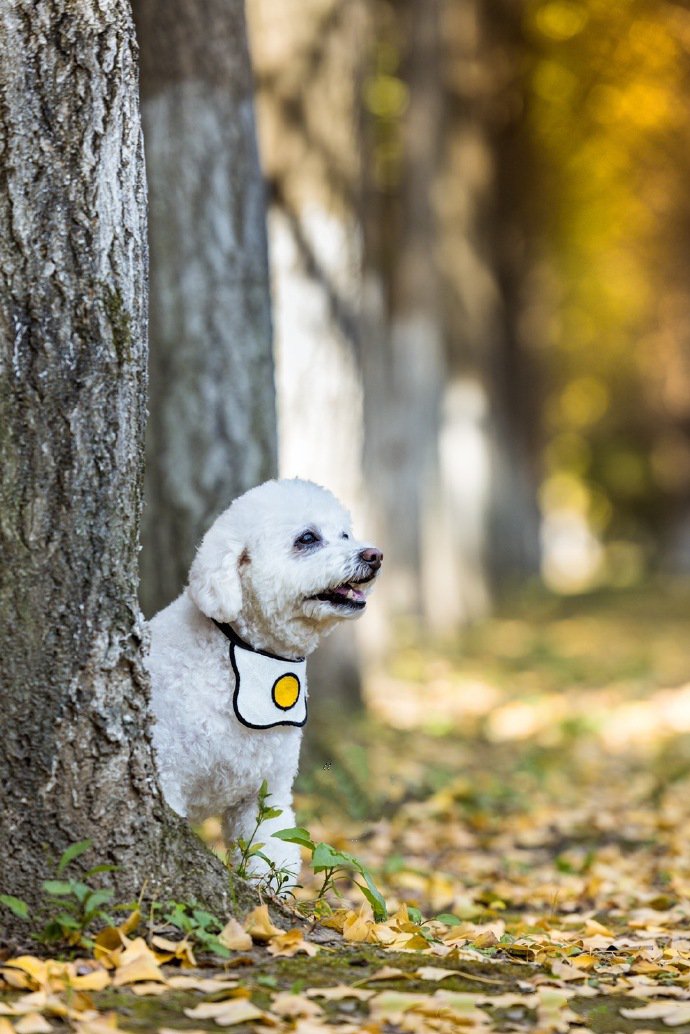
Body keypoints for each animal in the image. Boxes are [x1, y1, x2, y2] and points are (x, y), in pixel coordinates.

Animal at [147, 479, 382, 885]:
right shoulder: (169, 774)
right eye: (307, 538)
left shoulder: (264, 794)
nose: (374, 555)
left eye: (345, 534)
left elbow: (271, 854)